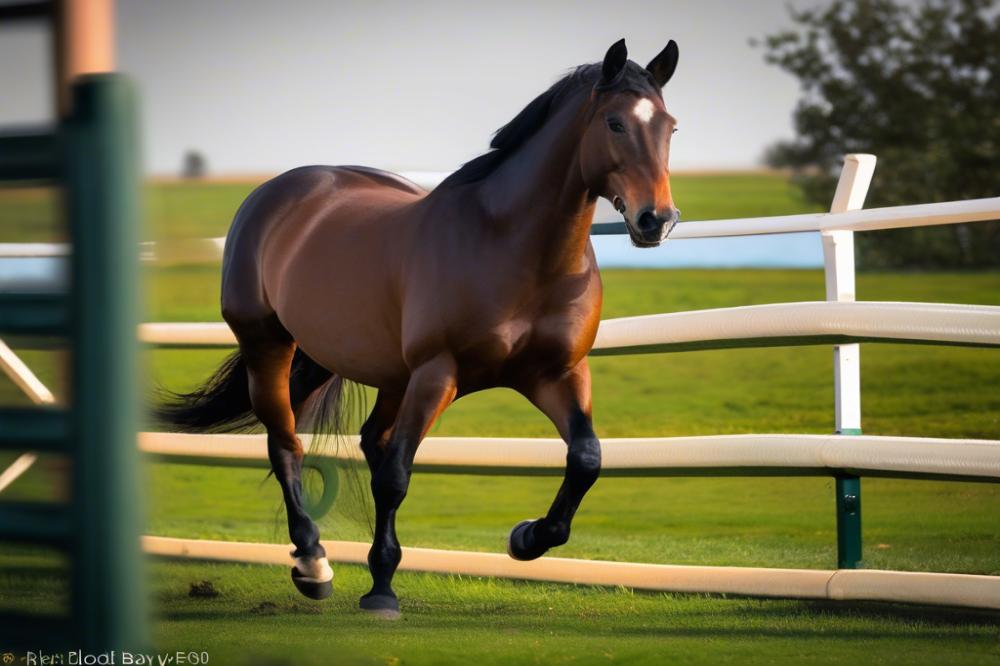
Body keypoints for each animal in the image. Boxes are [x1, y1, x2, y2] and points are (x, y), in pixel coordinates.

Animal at [159, 38, 680, 618]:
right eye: (614, 123)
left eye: (670, 126)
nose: (656, 220)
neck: (513, 247)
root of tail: (280, 189)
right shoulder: (437, 373)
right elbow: (396, 476)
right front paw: (381, 590)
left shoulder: (557, 373)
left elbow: (586, 459)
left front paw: (526, 538)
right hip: (268, 345)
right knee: (287, 445)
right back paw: (313, 564)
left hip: (384, 373)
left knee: (369, 441)